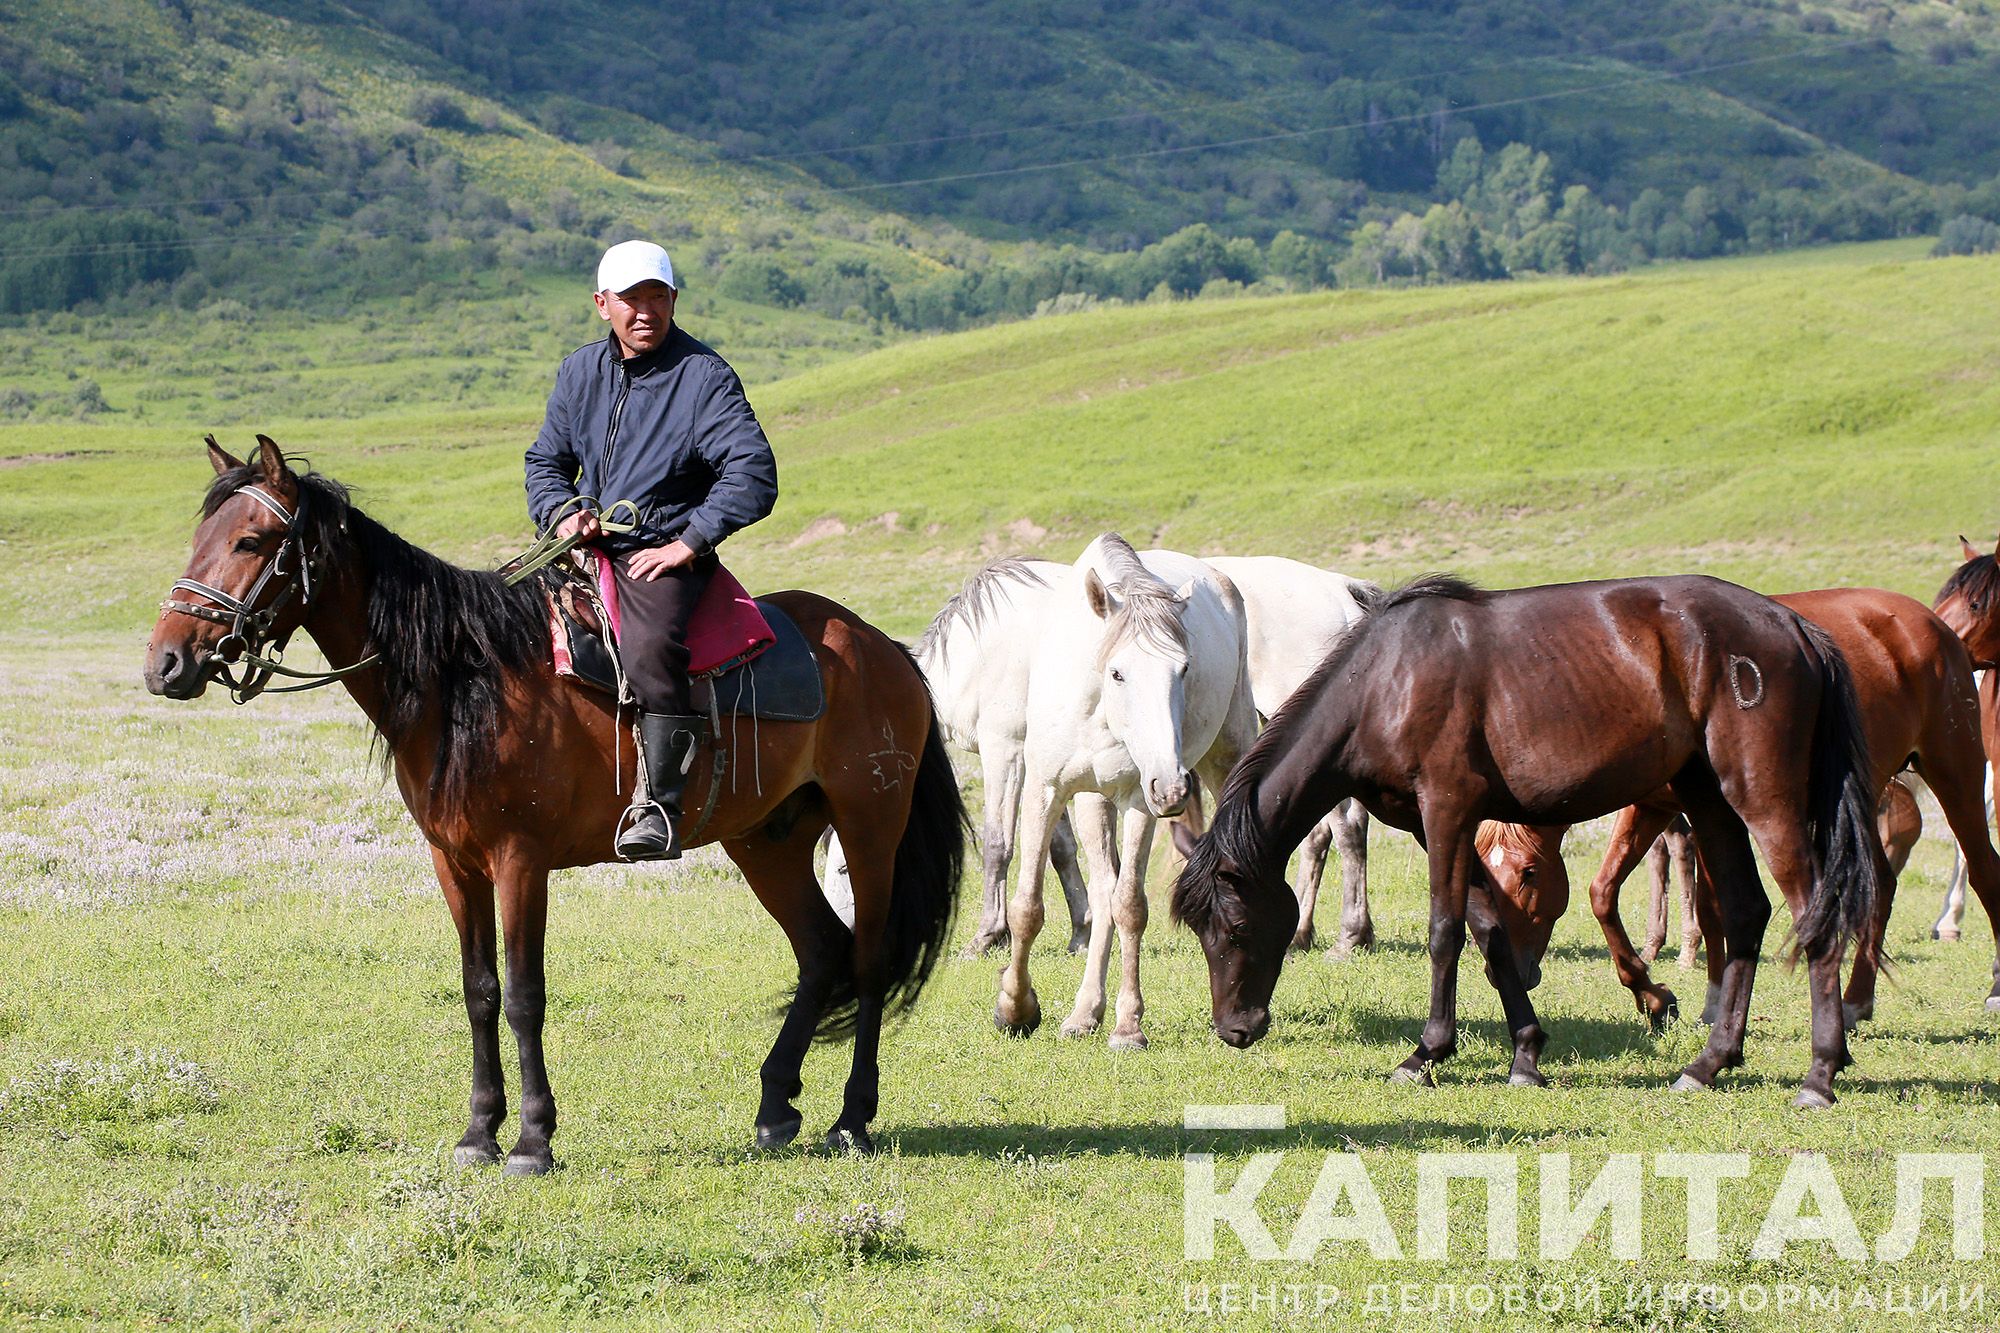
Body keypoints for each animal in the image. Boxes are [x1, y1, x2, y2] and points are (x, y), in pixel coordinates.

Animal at [143, 436, 968, 1160]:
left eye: (252, 541)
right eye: (200, 537)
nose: (166, 663)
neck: (464, 678)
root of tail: (881, 647)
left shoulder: (520, 860)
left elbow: (523, 994)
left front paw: (533, 1139)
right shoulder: (455, 864)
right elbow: (478, 990)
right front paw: (480, 1131)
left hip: (869, 828)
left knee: (867, 956)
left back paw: (852, 1117)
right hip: (767, 841)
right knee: (821, 947)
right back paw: (774, 1106)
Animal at [996, 532, 1256, 1048]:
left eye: (1184, 669)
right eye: (1118, 673)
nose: (1173, 785)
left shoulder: (1140, 798)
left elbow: (1130, 907)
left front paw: (1128, 1024)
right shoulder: (1047, 790)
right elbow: (1028, 907)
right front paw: (1015, 1009)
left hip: (1224, 758)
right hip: (1092, 800)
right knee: (1100, 893)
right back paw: (1082, 1014)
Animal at [1168, 572, 1880, 1096]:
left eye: (1236, 928)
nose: (1233, 1029)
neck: (1384, 681)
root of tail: (1793, 626)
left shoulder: (1447, 811)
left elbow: (1445, 931)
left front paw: (1424, 1054)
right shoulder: (1429, 824)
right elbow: (1489, 929)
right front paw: (1526, 1055)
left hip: (1763, 801)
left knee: (1813, 917)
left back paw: (1820, 1072)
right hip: (1708, 801)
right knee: (1746, 910)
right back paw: (1709, 1063)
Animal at [1472, 588, 2000, 1032]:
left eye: (1529, 874)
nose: (1503, 973)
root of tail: (1931, 622)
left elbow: (1709, 904)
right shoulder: (1655, 806)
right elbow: (1610, 893)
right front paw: (1661, 997)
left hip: (1956, 776)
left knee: (1982, 871)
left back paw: (1990, 987)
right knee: (1881, 884)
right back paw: (1855, 1001)